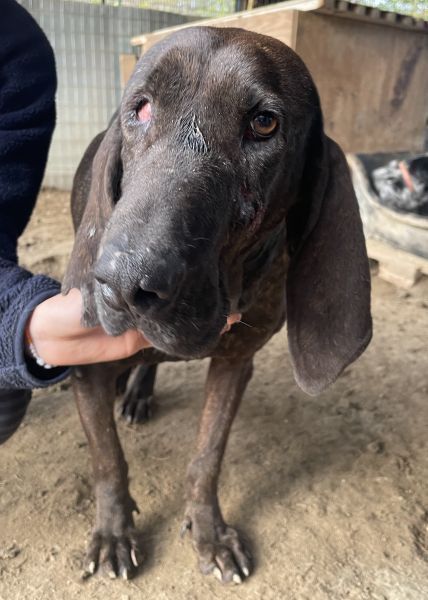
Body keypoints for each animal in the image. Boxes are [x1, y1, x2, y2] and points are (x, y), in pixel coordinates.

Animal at [63, 26, 372, 584]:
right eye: (140, 109)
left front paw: (209, 531)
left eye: (264, 123)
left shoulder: (234, 363)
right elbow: (107, 461)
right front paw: (114, 532)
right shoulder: (86, 368)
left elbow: (207, 458)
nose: (124, 282)